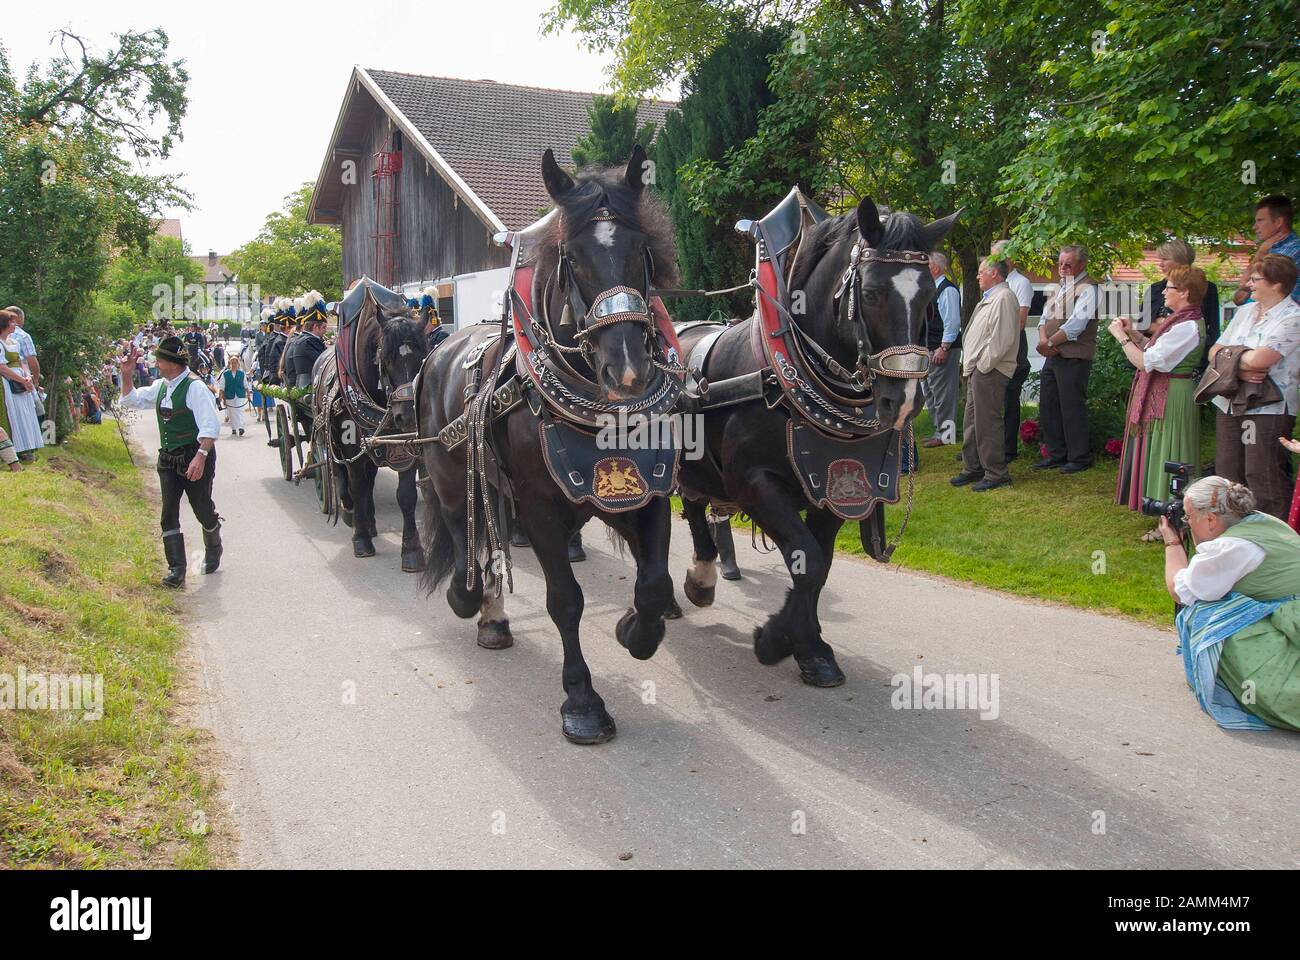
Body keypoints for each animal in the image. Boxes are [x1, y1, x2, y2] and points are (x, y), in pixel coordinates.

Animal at [317, 297, 428, 567]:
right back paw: (352, 514)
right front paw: (361, 539)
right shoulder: (352, 449)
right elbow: (357, 487)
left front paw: (411, 550)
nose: (409, 416)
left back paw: (370, 522)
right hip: (335, 443)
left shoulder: (403, 446)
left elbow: (406, 495)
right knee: (344, 477)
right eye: (384, 359)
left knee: (369, 481)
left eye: (423, 356)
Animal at [418, 147, 681, 738]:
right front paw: (582, 700)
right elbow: (565, 599)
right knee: (465, 533)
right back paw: (469, 596)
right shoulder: (539, 506)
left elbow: (654, 581)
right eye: (572, 256)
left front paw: (635, 629)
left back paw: (492, 615)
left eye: (641, 250)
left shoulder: (647, 487)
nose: (627, 372)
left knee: (489, 535)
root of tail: (443, 346)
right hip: (448, 473)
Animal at [676, 196, 961, 681]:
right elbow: (807, 562)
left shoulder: (834, 487)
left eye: (928, 296)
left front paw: (810, 648)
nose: (904, 402)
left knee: (695, 506)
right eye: (871, 293)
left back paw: (701, 578)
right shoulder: (754, 484)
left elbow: (819, 565)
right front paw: (775, 640)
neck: (784, 378)